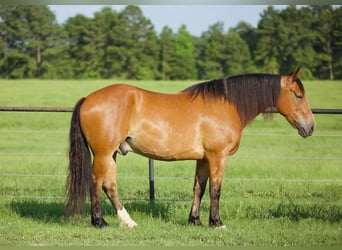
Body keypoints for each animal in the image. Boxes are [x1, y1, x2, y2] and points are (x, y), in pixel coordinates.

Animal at [65, 67, 314, 228]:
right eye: (298, 95)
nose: (310, 127)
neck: (227, 104)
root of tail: (88, 99)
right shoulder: (218, 157)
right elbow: (216, 189)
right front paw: (217, 222)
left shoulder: (203, 158)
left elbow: (199, 188)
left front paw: (195, 220)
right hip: (103, 153)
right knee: (96, 182)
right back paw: (99, 222)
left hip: (112, 154)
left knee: (110, 185)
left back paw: (128, 222)